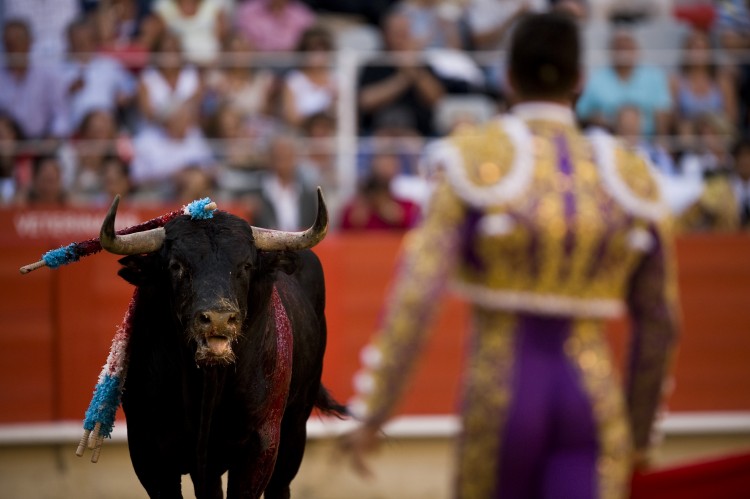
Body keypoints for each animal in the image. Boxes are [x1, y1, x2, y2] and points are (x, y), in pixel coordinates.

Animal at [96, 189, 344, 498]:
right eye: (176, 266)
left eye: (246, 266)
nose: (219, 319)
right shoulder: (146, 448)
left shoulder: (261, 443)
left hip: (295, 428)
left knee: (280, 485)